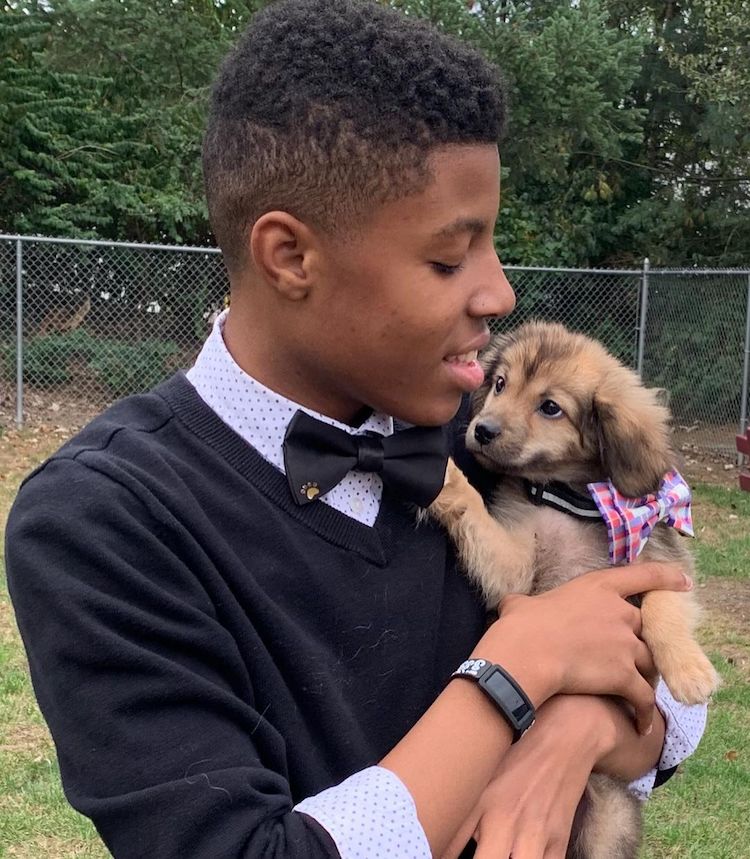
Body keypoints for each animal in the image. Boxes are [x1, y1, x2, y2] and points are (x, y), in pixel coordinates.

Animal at [432, 320, 720, 859]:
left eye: (550, 407)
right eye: (500, 383)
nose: (481, 430)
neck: (569, 502)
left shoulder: (665, 565)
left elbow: (663, 611)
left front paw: (690, 673)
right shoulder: (515, 565)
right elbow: (475, 515)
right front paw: (447, 480)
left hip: (608, 821)